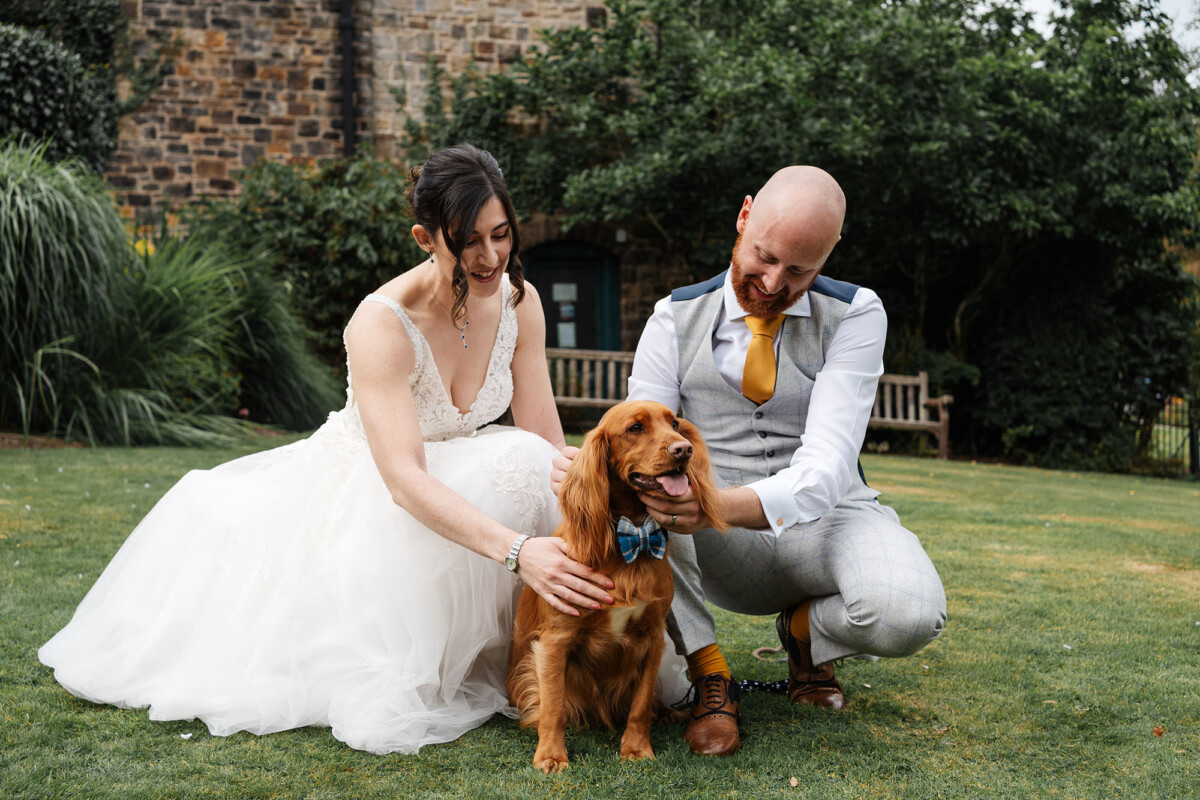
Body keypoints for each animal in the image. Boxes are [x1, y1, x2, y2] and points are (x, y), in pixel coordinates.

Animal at [507, 400, 726, 773]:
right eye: (635, 428)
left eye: (674, 423)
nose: (684, 449)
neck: (632, 536)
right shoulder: (555, 640)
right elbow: (553, 706)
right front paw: (551, 755)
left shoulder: (653, 636)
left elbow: (640, 705)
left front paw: (636, 749)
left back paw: (667, 712)